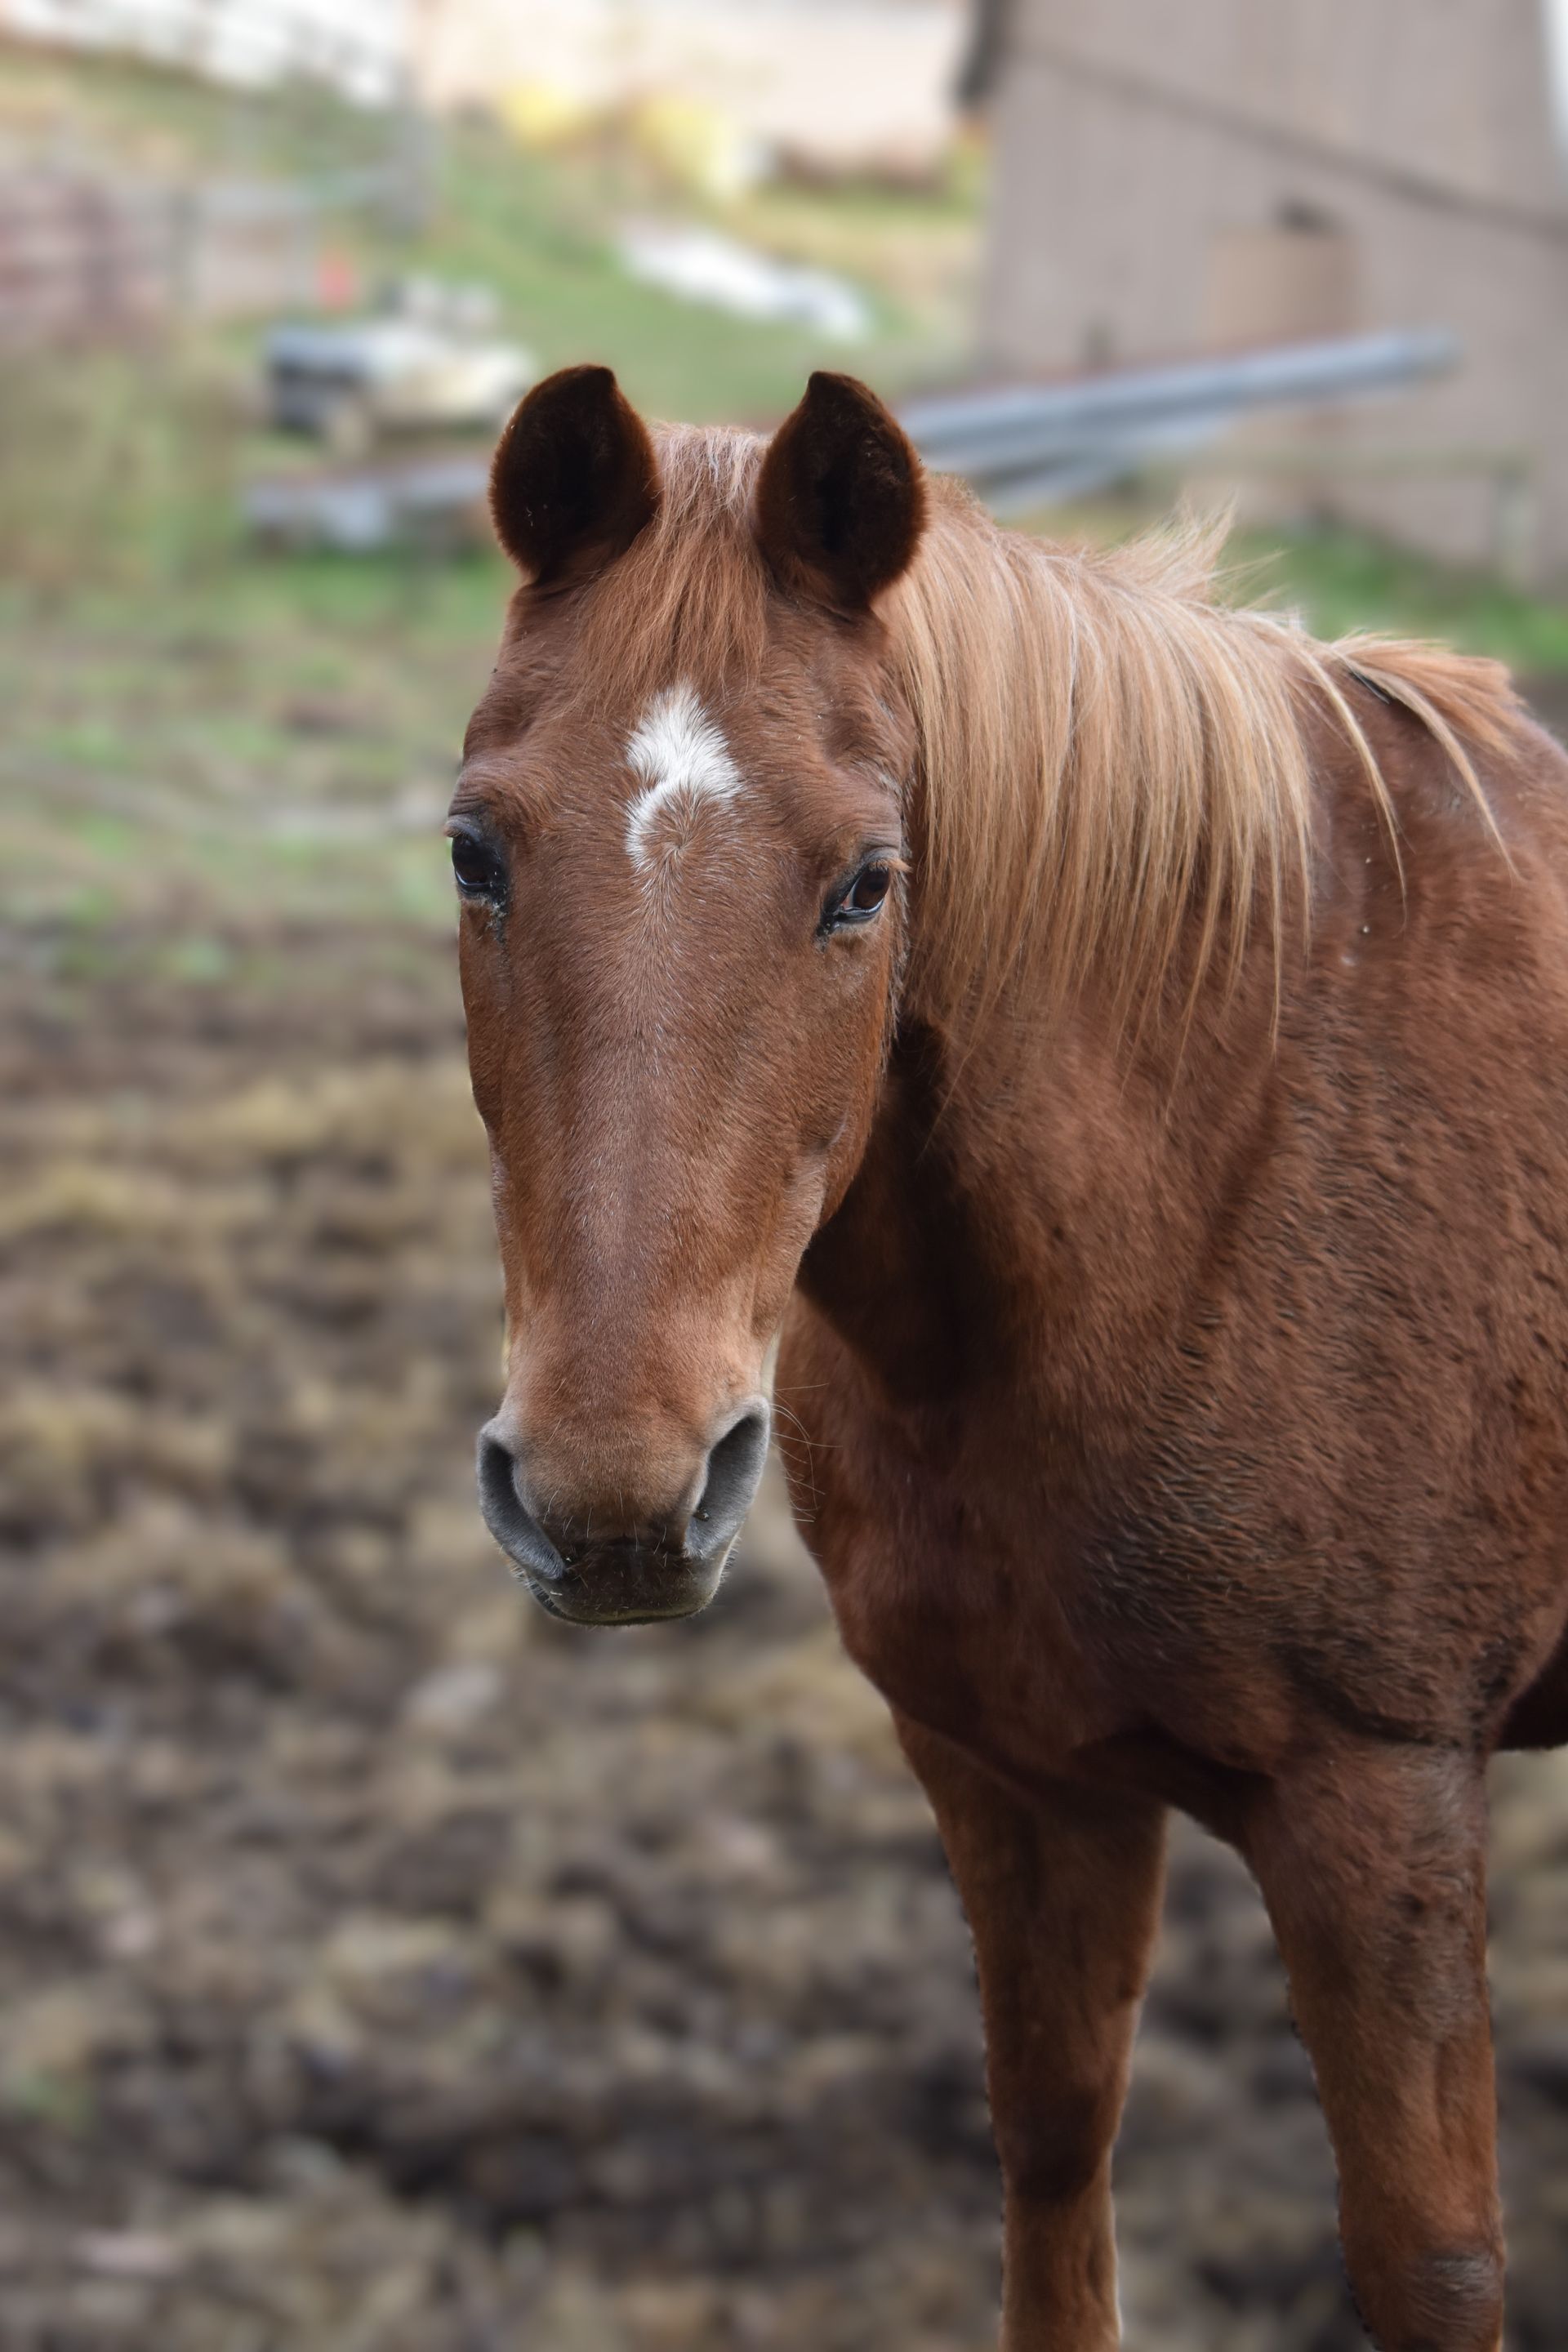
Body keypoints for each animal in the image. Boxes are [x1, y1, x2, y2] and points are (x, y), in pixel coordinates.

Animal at [446, 367, 1568, 2352]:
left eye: (865, 883)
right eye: (472, 851)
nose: (612, 1494)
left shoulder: (1384, 1802)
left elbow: (1431, 2265)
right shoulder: (1011, 1770)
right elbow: (1054, 2156)